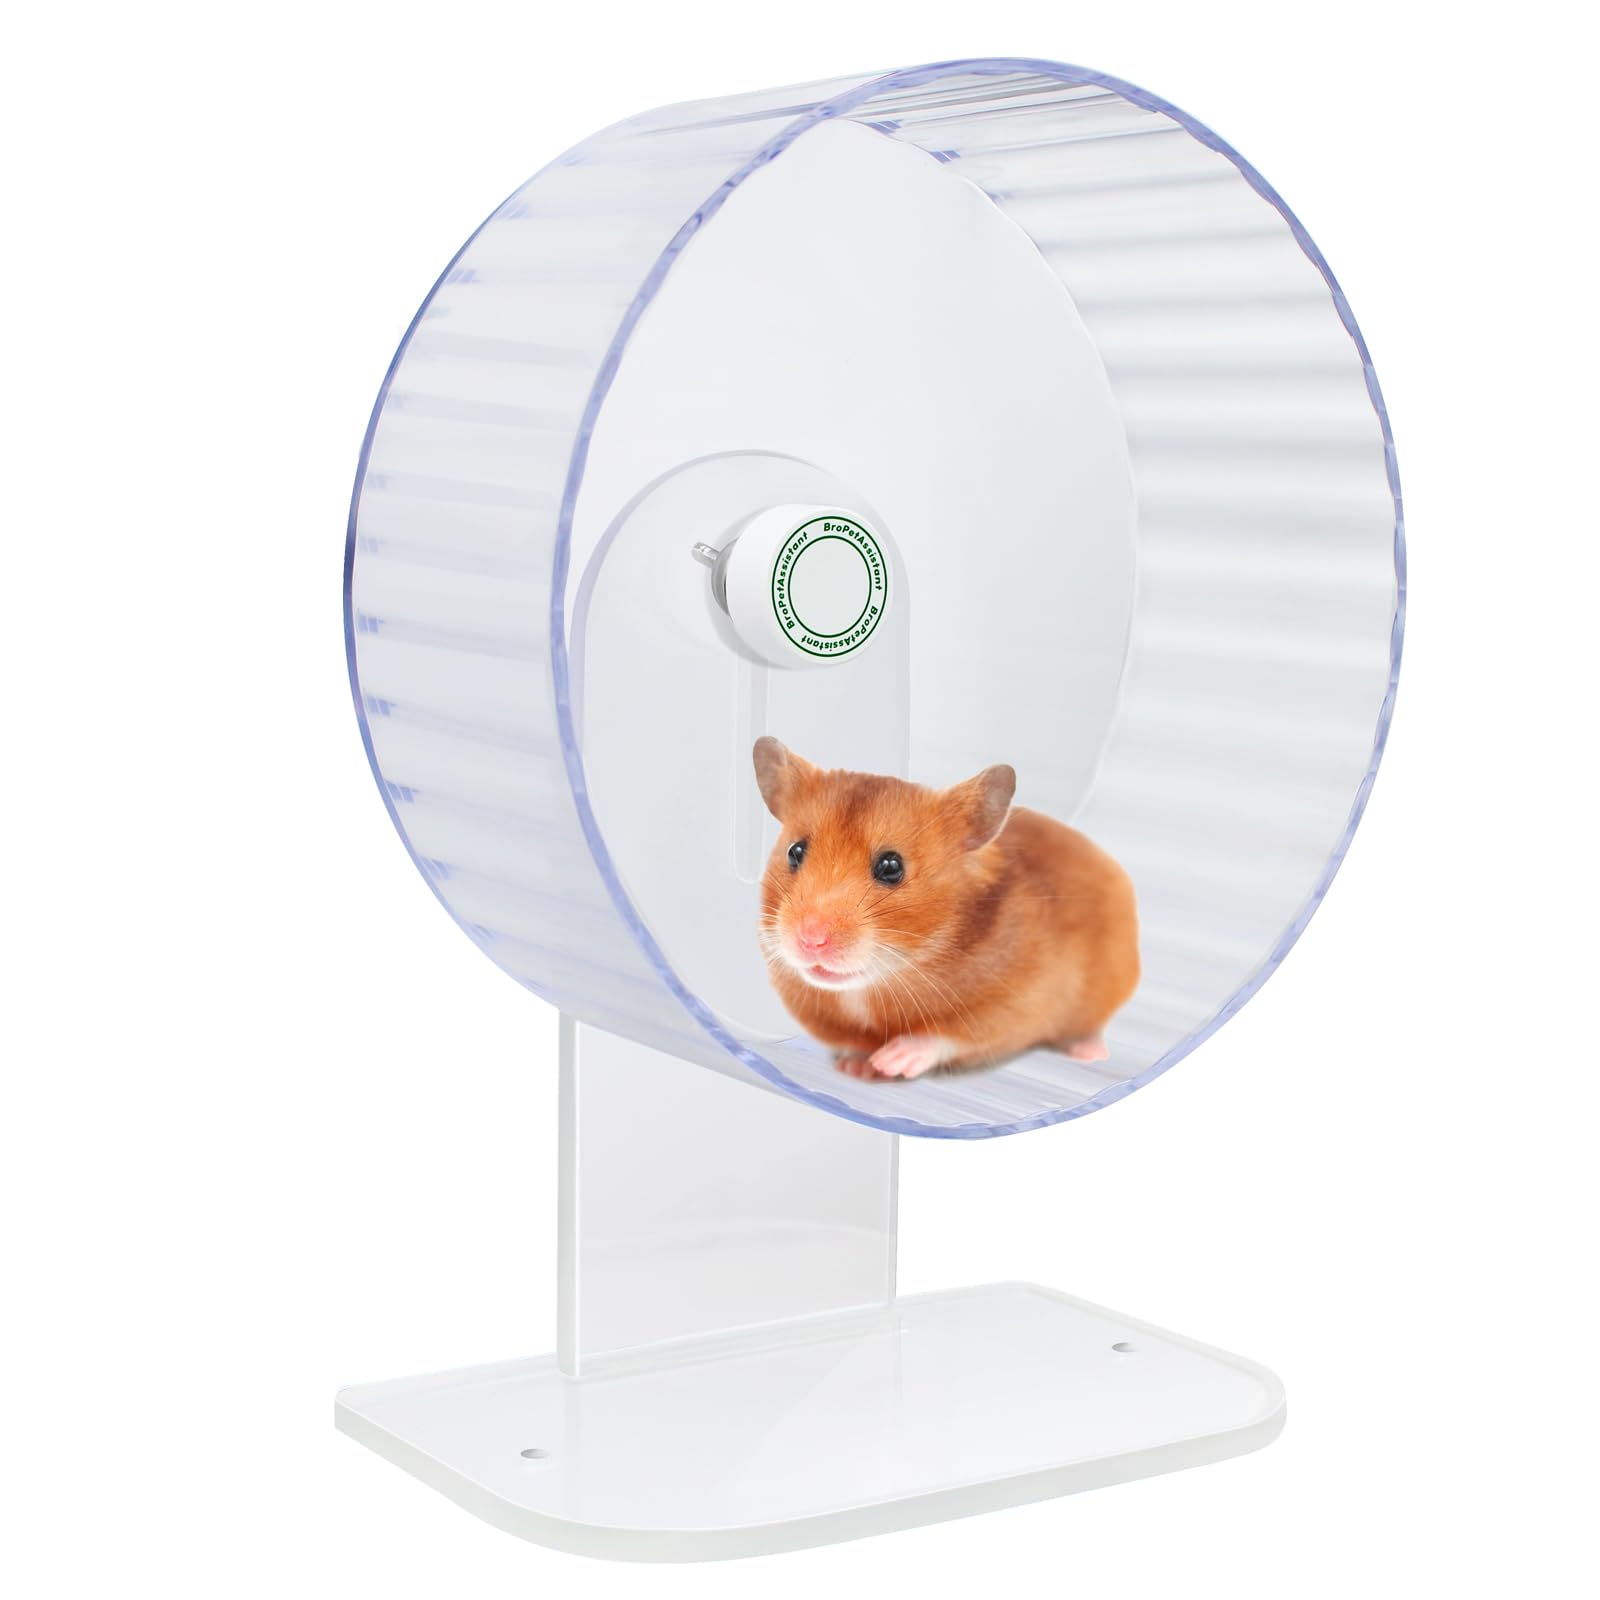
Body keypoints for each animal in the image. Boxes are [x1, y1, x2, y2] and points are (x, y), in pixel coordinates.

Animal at [752, 737, 1139, 1081]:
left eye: (891, 866)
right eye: (795, 852)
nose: (811, 940)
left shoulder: (1016, 1004)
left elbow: (949, 1035)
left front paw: (892, 1061)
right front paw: (858, 1067)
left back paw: (1090, 1053)